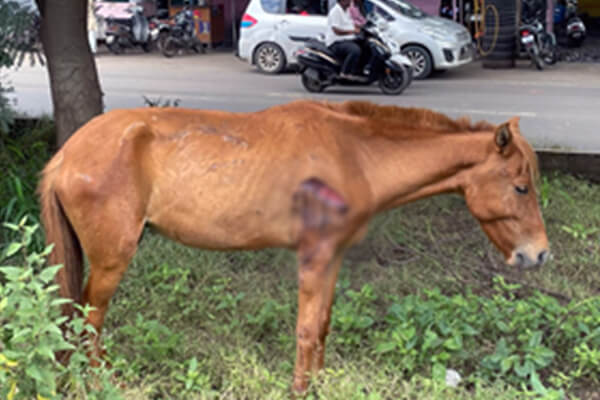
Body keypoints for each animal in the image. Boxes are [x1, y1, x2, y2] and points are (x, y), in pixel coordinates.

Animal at [39, 101, 548, 394]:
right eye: (521, 187)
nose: (539, 255)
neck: (353, 153)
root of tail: (67, 153)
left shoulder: (332, 258)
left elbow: (321, 326)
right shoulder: (314, 257)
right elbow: (305, 331)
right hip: (111, 262)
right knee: (88, 323)